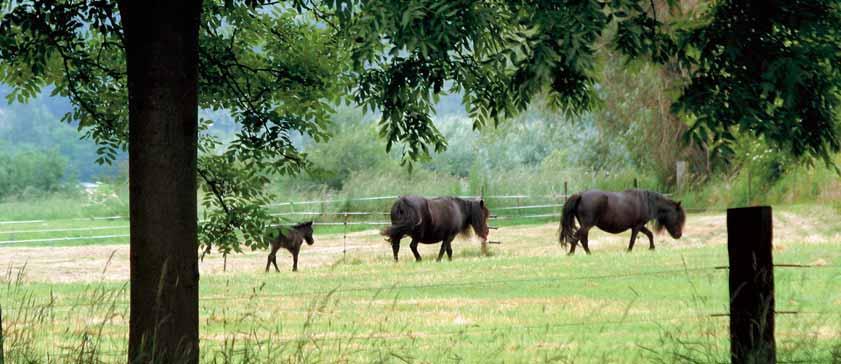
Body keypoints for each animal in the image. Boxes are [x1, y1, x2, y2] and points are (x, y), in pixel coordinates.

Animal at [556, 189, 684, 255]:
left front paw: (652, 248)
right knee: (577, 237)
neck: (646, 202)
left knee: (582, 239)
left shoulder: (639, 225)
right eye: (678, 218)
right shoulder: (637, 226)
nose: (679, 235)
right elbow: (633, 240)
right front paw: (629, 251)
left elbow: (649, 234)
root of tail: (581, 195)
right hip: (587, 225)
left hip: (585, 225)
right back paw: (572, 253)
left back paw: (587, 253)